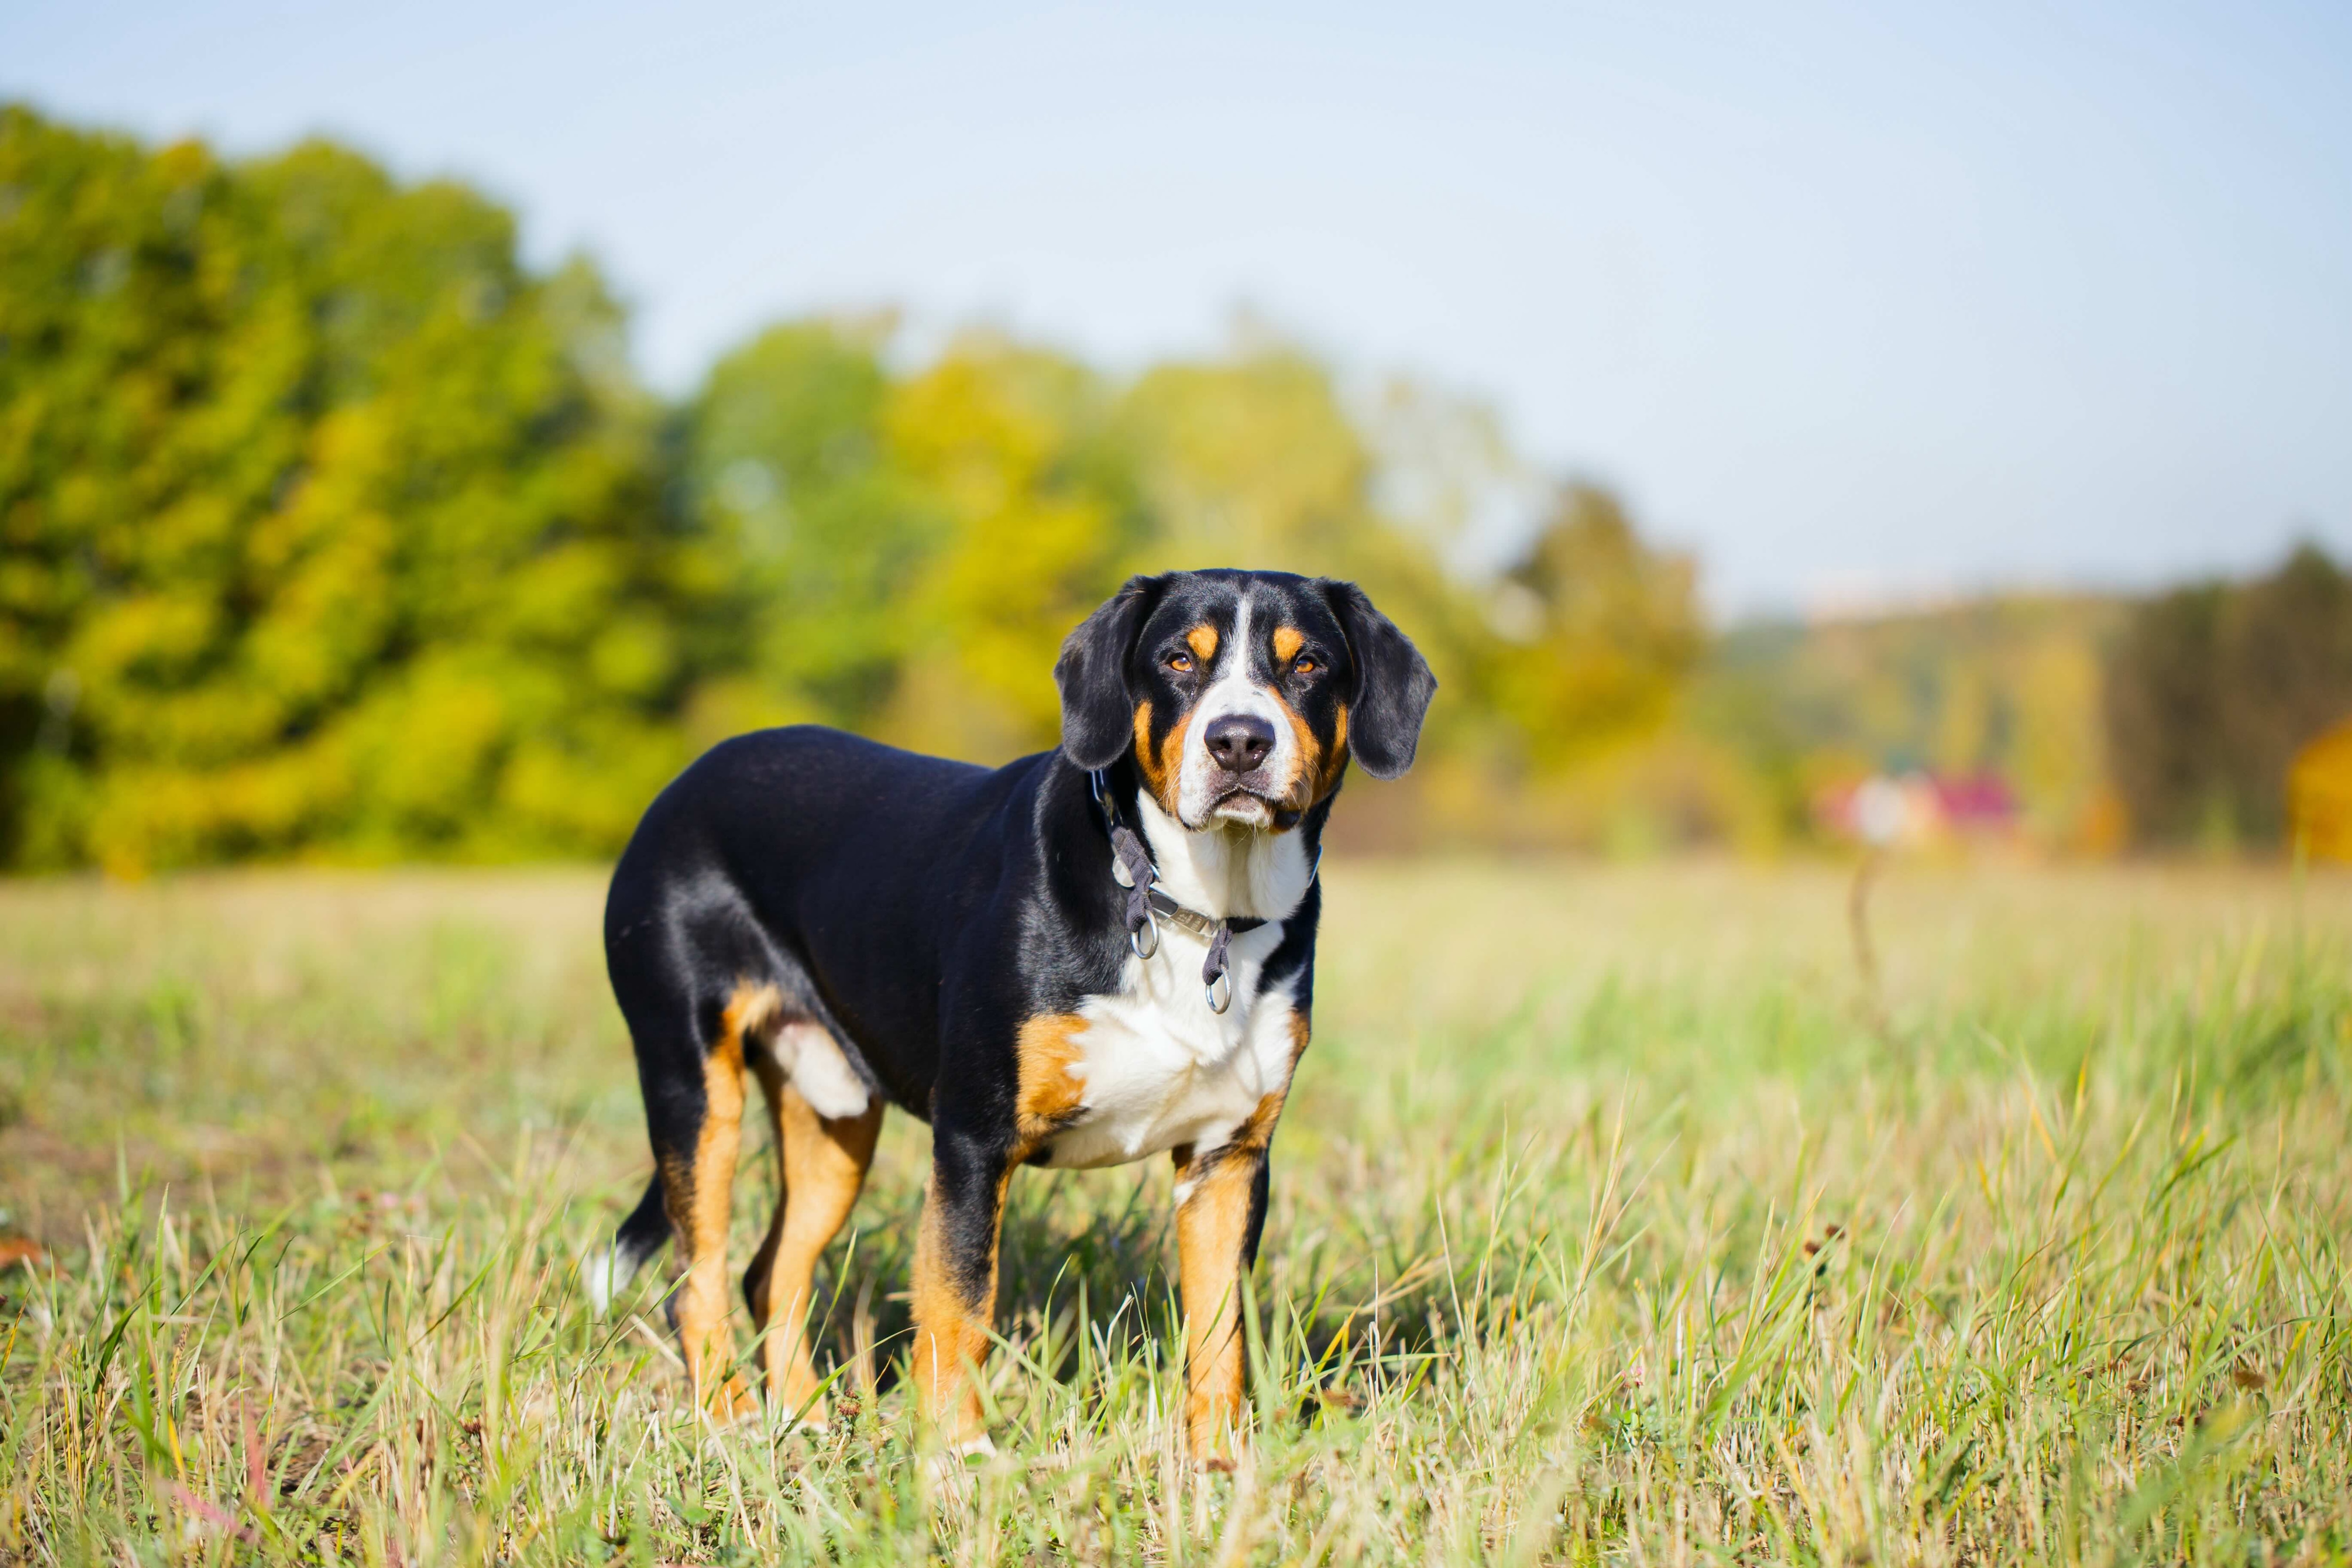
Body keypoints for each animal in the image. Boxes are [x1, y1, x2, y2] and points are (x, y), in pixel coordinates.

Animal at [588, 566, 1430, 1457]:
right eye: (1177, 659)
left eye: (1307, 664)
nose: (1240, 740)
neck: (1192, 909)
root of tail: (685, 783)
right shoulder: (973, 1137)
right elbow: (961, 1305)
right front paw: (959, 1457)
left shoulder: (1227, 1159)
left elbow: (1219, 1331)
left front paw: (1217, 1463)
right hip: (693, 1082)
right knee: (699, 1278)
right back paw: (733, 1419)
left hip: (835, 1115)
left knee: (769, 1272)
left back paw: (805, 1424)